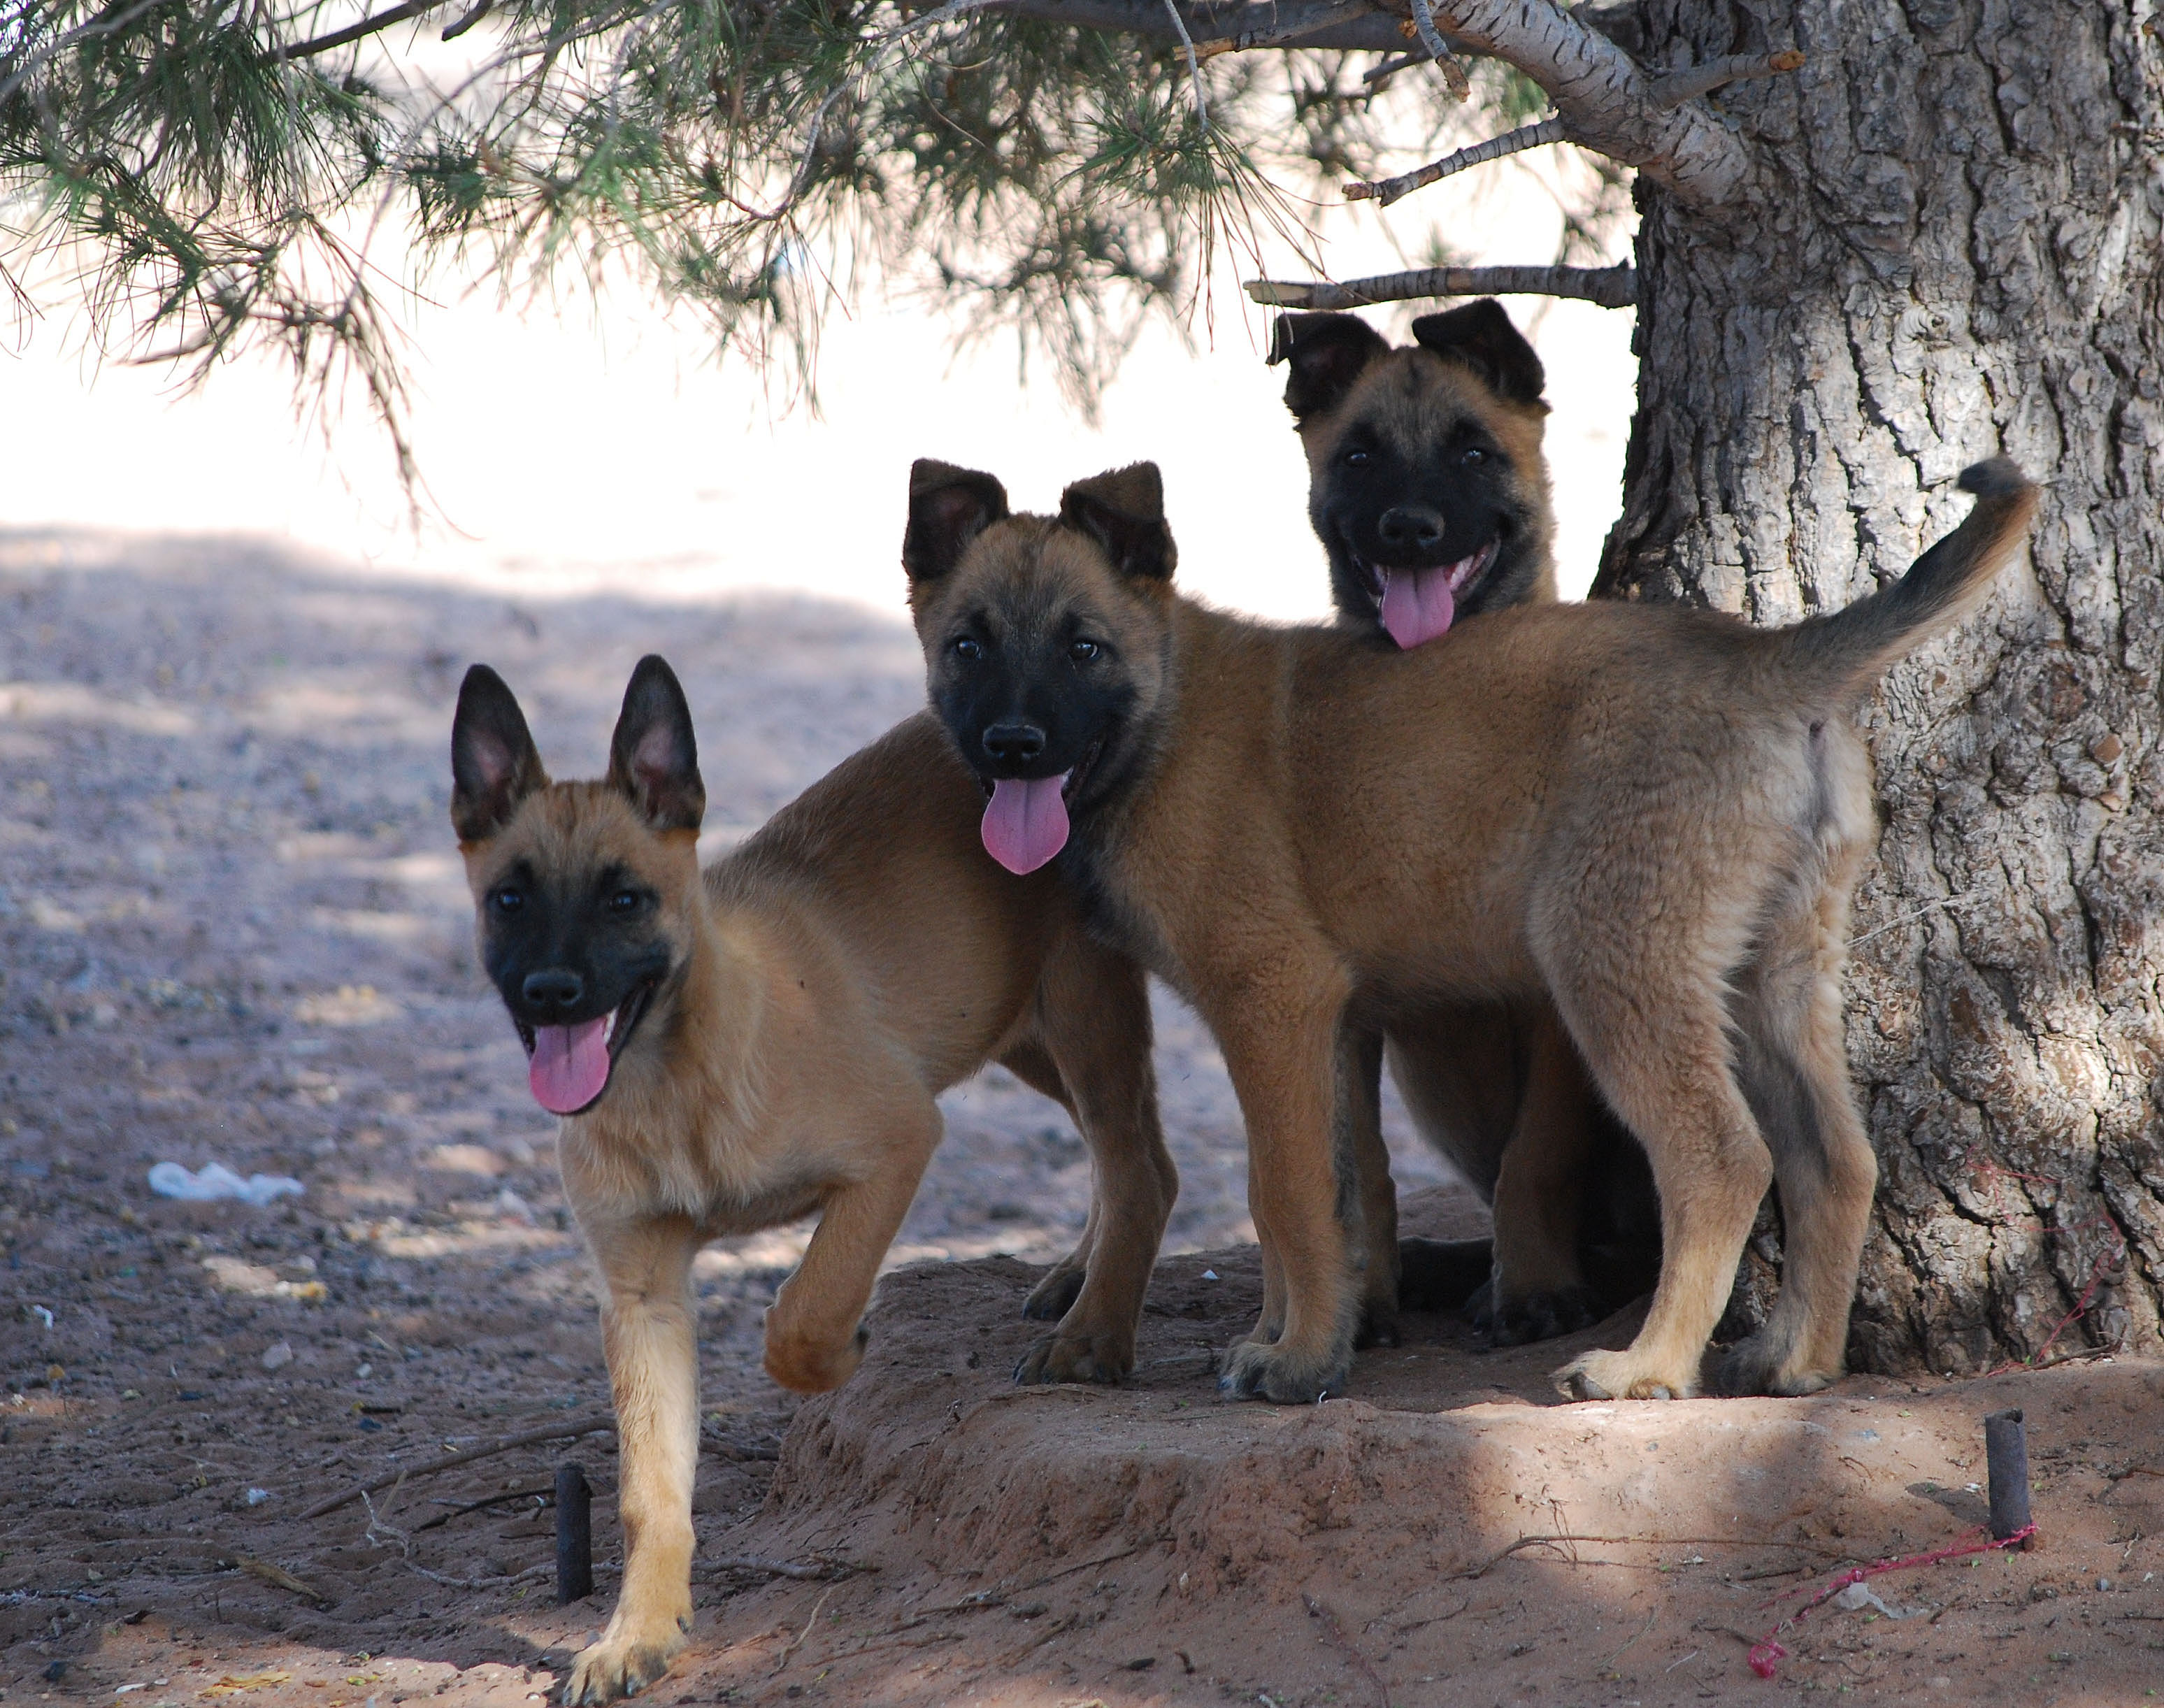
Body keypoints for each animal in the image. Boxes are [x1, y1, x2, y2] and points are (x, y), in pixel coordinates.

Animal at [1263, 303, 1653, 1342]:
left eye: (1472, 452)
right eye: (1357, 456)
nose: (1409, 529)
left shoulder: (1549, 1010)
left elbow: (1537, 1157)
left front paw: (1533, 1288)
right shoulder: (1338, 1006)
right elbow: (1354, 1168)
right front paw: (1358, 1299)